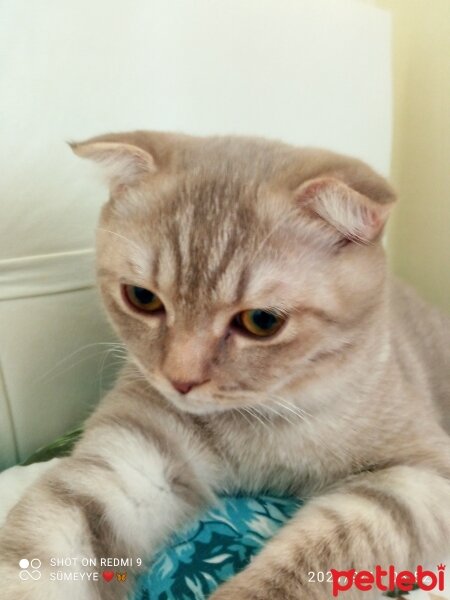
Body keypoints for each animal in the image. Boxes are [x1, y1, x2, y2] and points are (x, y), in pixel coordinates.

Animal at [0, 132, 450, 600]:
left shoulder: (418, 479)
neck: (258, 422)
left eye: (262, 322)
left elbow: (314, 559)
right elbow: (40, 551)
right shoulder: (130, 463)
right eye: (142, 298)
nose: (180, 380)